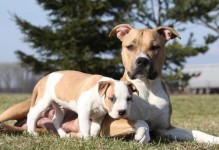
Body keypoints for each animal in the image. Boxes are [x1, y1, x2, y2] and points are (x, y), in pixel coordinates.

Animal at [0, 24, 219, 144]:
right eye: (129, 46)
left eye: (155, 47)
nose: (142, 61)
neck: (147, 88)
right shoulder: (110, 123)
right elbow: (141, 122)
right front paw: (142, 134)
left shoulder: (165, 128)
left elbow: (194, 132)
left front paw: (213, 139)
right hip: (24, 106)